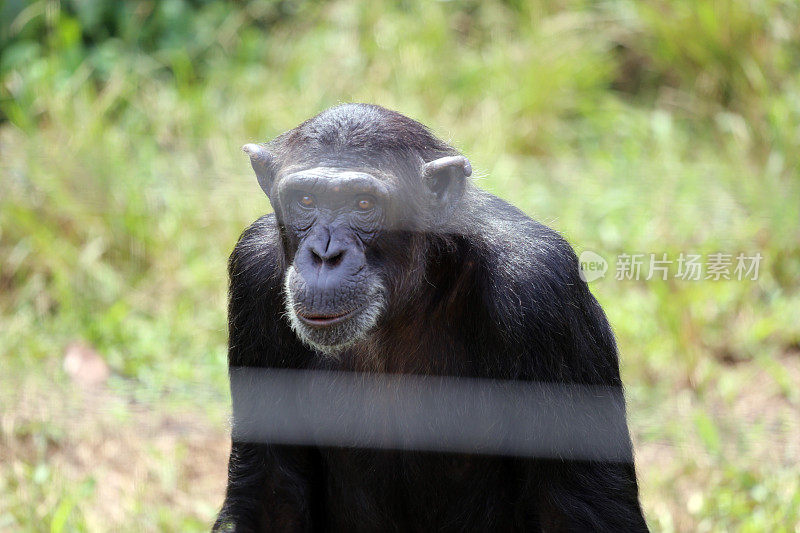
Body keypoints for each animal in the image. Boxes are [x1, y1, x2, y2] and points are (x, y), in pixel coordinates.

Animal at [214, 105, 648, 532]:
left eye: (363, 204)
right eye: (305, 200)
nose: (325, 254)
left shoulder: (541, 287)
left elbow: (576, 507)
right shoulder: (253, 268)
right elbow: (271, 492)